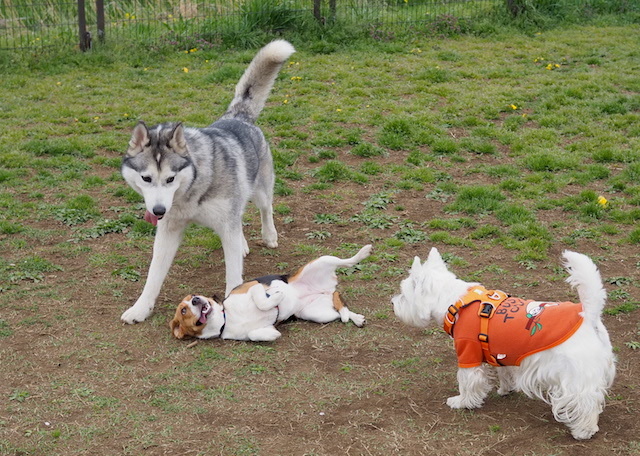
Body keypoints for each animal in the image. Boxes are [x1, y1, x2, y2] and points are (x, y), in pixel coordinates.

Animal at [120, 40, 296, 324]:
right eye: (146, 178)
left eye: (170, 178)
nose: (157, 211)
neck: (190, 191)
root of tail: (237, 116)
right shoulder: (168, 231)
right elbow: (153, 275)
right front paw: (141, 308)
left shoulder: (226, 224)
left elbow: (233, 276)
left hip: (259, 191)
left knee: (265, 209)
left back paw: (269, 235)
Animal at [170, 248, 372, 340]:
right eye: (183, 310)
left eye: (192, 296)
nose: (196, 300)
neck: (226, 318)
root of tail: (325, 287)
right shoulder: (250, 332)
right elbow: (256, 334)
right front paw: (274, 333)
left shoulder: (253, 286)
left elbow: (263, 300)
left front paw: (276, 295)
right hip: (317, 313)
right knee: (338, 303)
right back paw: (355, 318)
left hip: (322, 260)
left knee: (346, 262)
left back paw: (363, 253)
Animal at [390, 248, 616, 440]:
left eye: (403, 294)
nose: (392, 303)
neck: (454, 302)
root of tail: (588, 314)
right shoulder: (502, 353)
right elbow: (505, 373)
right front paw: (506, 389)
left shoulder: (468, 353)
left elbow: (467, 382)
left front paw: (461, 402)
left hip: (576, 378)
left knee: (586, 402)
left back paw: (584, 431)